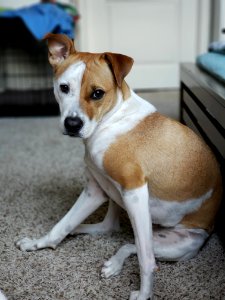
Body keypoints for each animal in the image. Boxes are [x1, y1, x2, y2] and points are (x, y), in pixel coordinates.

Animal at [16, 33, 223, 300]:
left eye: (98, 93)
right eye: (64, 88)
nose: (72, 124)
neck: (111, 120)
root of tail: (209, 228)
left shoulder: (135, 192)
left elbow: (146, 261)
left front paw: (144, 294)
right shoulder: (94, 191)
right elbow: (62, 225)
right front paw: (39, 244)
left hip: (174, 242)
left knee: (139, 249)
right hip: (125, 206)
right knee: (113, 231)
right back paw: (103, 251)